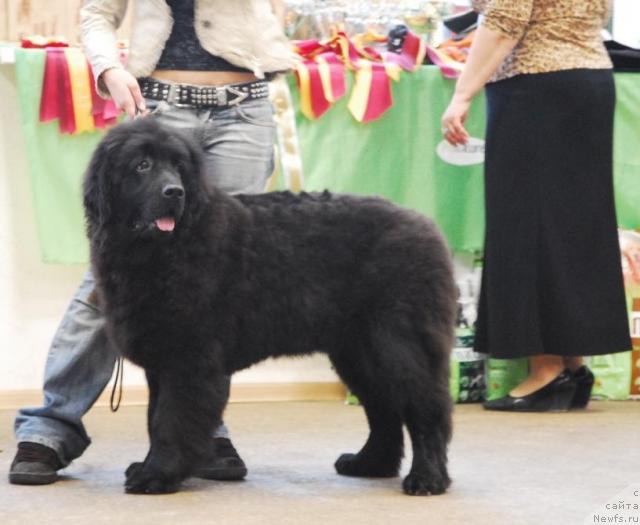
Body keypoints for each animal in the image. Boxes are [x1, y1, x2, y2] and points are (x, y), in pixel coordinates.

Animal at [84, 117, 456, 496]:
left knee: (425, 409)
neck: (162, 253)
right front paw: (150, 467)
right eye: (142, 165)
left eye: (178, 167)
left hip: (398, 344)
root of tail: (425, 225)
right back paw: (370, 463)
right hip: (357, 352)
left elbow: (170, 420)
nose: (174, 192)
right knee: (384, 409)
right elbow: (153, 417)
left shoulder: (189, 360)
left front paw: (157, 474)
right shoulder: (162, 359)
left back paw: (427, 478)